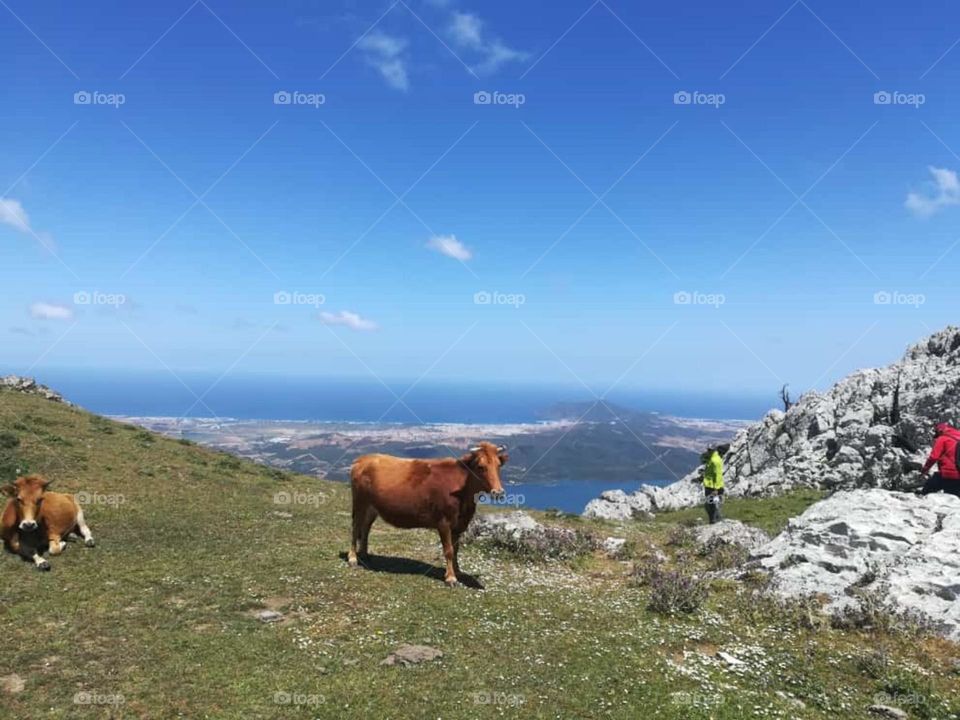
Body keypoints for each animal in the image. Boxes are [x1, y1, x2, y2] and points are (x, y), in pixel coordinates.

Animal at [348, 442, 508, 586]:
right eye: (481, 467)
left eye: (498, 465)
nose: (498, 492)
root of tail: (362, 459)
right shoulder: (444, 522)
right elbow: (449, 550)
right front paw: (450, 578)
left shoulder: (459, 524)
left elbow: (456, 549)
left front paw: (457, 571)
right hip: (360, 502)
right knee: (355, 528)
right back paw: (353, 558)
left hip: (371, 507)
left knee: (365, 528)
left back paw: (365, 555)